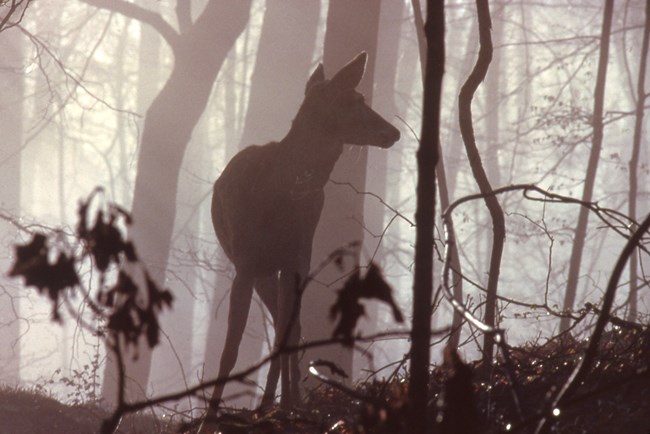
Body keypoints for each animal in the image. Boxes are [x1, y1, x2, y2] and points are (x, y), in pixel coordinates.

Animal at [208, 50, 398, 414]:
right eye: (355, 100)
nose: (393, 132)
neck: (279, 194)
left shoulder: (298, 260)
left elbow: (288, 332)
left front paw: (288, 405)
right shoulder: (246, 263)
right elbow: (229, 350)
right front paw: (207, 417)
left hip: (291, 266)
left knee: (290, 328)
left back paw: (283, 402)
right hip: (263, 272)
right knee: (282, 326)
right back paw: (270, 403)